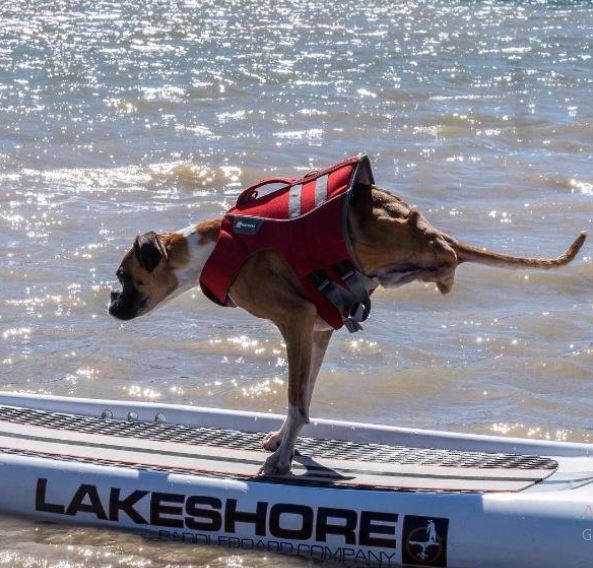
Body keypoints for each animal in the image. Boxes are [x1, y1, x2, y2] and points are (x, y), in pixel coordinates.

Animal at [108, 181, 584, 474]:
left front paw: (282, 458)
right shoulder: (317, 331)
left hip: (375, 232)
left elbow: (295, 400)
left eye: (123, 276)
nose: (110, 306)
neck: (210, 249)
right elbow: (302, 400)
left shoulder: (295, 321)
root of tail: (427, 226)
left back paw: (421, 266)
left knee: (444, 255)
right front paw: (285, 441)